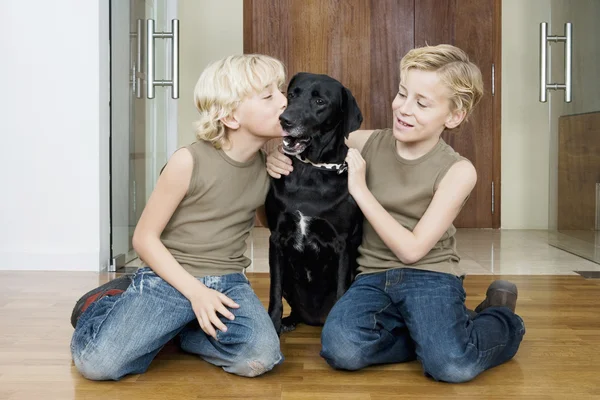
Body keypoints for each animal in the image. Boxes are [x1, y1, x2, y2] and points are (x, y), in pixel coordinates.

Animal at [268, 72, 366, 334]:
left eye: (320, 102)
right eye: (292, 94)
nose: (284, 120)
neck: (310, 170)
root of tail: (314, 319)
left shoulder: (342, 244)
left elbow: (341, 291)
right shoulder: (276, 239)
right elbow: (274, 293)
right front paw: (274, 325)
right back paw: (289, 321)